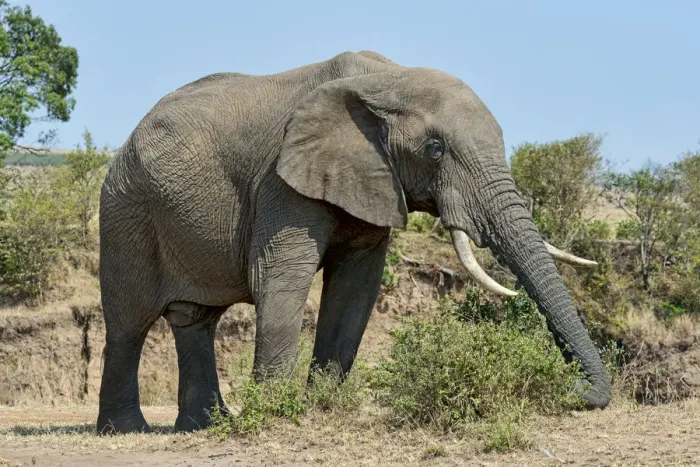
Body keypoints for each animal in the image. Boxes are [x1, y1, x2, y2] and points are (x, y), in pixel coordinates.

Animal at [96, 50, 611, 435]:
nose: (578, 392)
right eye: (435, 150)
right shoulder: (280, 180)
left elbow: (355, 287)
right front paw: (274, 415)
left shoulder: (373, 179)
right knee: (128, 323)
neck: (387, 79)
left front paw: (321, 407)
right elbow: (280, 280)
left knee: (194, 320)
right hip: (125, 211)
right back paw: (128, 430)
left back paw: (203, 426)